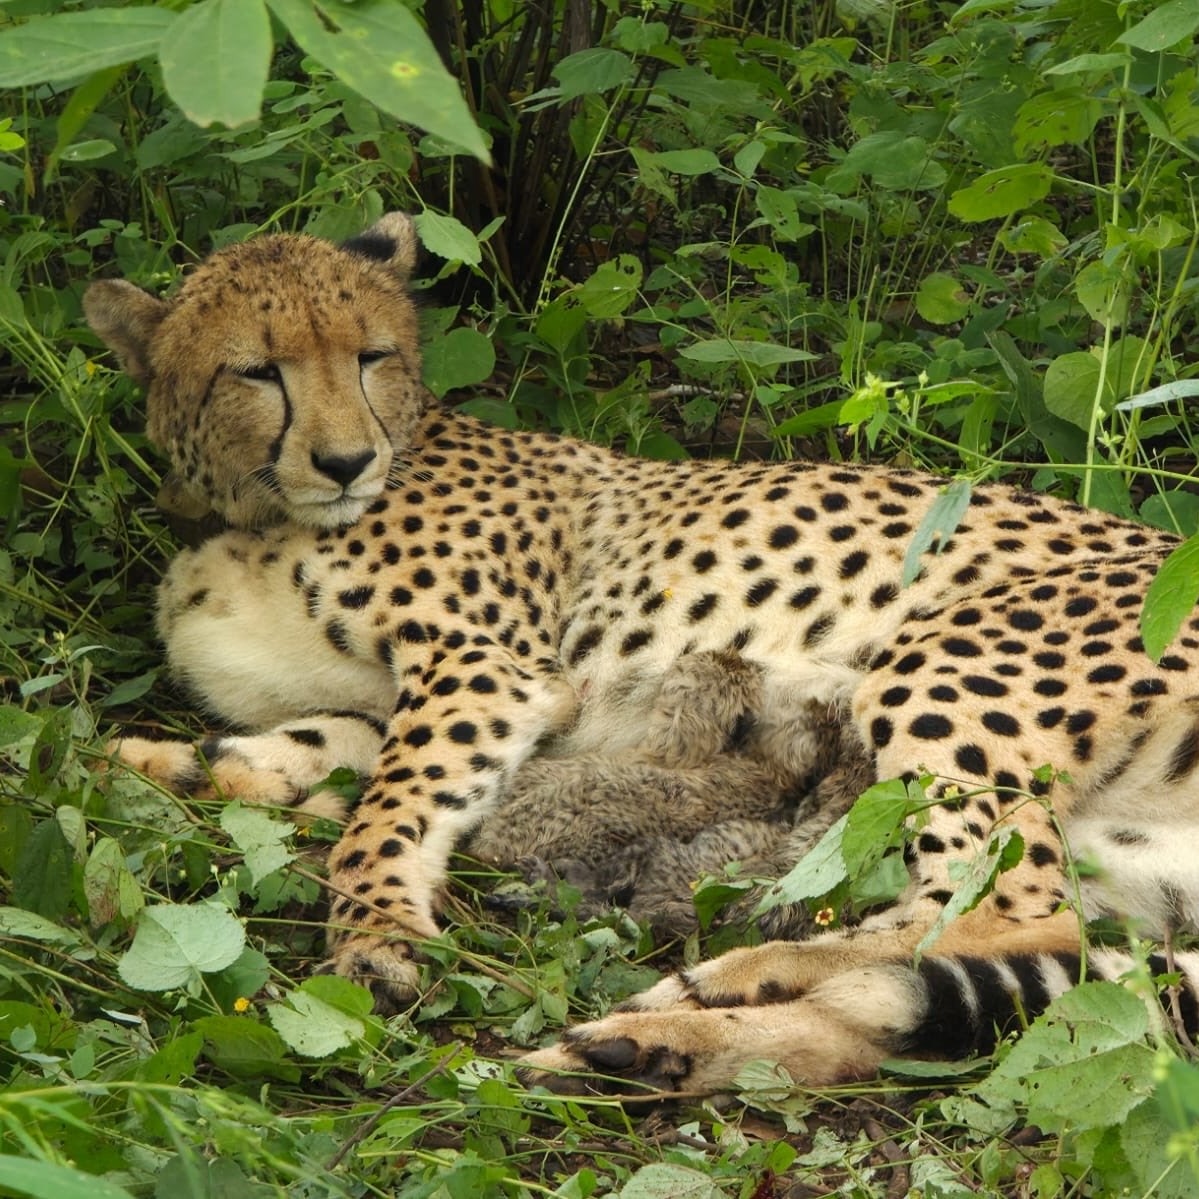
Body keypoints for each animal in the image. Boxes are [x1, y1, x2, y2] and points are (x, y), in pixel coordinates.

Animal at [84, 212, 1199, 1096]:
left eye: (370, 355)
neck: (256, 511)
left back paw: (715, 979)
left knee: (1005, 916)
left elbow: (385, 809)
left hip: (940, 662)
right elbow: (323, 744)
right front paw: (173, 762)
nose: (347, 459)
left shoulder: (489, 669)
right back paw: (647, 1044)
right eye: (256, 370)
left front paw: (375, 935)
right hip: (1121, 861)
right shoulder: (427, 696)